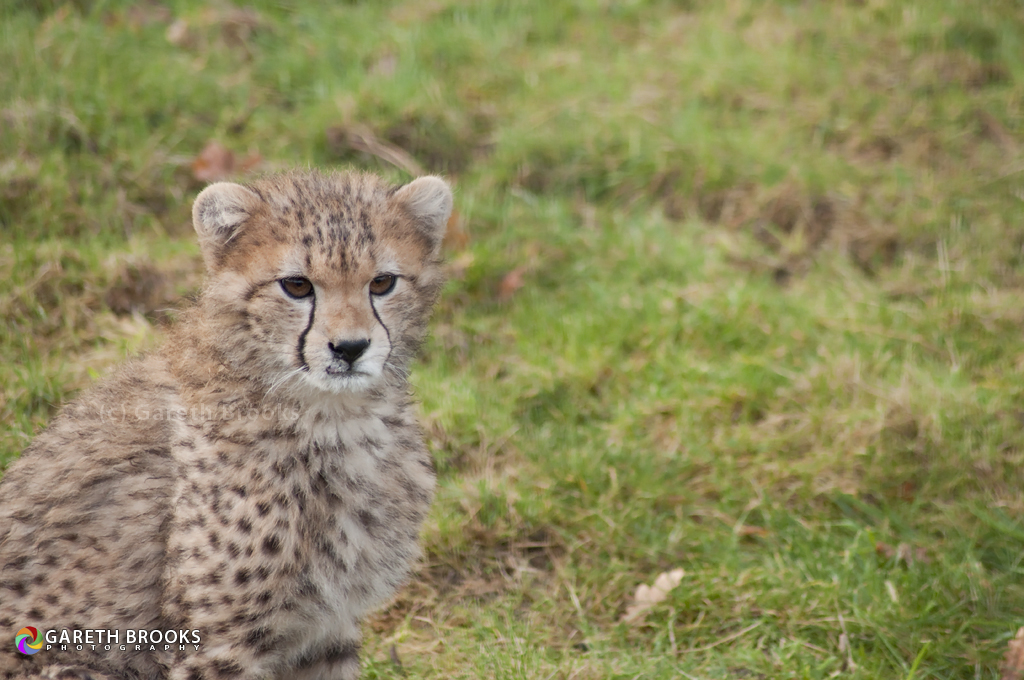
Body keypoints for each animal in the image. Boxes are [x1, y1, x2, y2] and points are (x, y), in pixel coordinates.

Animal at [0, 169, 453, 680]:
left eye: (382, 282)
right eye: (297, 285)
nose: (350, 348)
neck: (335, 417)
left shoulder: (324, 629)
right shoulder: (215, 641)